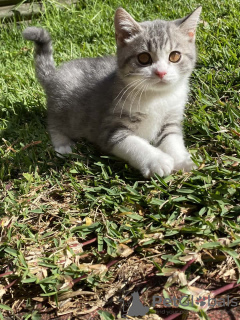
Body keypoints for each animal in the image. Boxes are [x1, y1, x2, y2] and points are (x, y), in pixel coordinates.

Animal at [23, 6, 202, 178]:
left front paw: (183, 160)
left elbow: (172, 139)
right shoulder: (108, 128)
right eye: (144, 58)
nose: (161, 72)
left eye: (175, 56)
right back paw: (63, 145)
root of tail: (54, 74)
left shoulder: (171, 119)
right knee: (54, 124)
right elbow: (133, 143)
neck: (156, 97)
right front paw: (157, 160)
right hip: (61, 109)